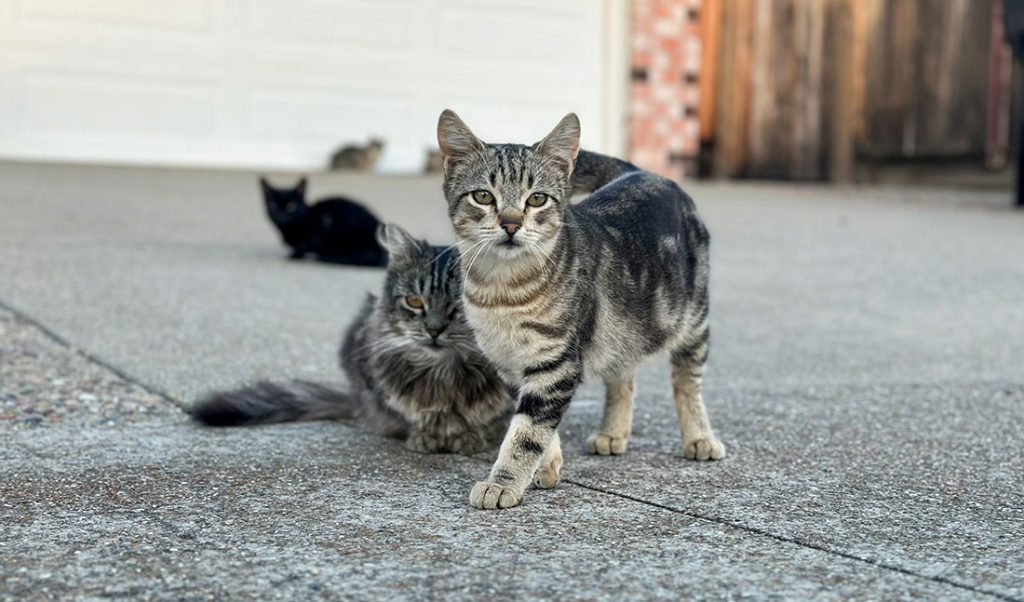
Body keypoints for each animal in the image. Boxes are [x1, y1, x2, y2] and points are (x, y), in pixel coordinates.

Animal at [189, 223, 516, 454]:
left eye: (461, 306)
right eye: (414, 302)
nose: (433, 330)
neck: (443, 375)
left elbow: (484, 420)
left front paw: (468, 436)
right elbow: (414, 416)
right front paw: (426, 435)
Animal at [436, 109, 724, 507]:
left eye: (537, 199)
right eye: (483, 196)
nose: (510, 223)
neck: (502, 290)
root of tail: (643, 172)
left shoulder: (556, 361)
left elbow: (528, 432)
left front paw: (504, 482)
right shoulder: (509, 361)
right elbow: (538, 424)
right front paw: (547, 466)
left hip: (692, 319)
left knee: (686, 381)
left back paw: (699, 436)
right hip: (623, 325)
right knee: (623, 375)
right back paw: (613, 432)